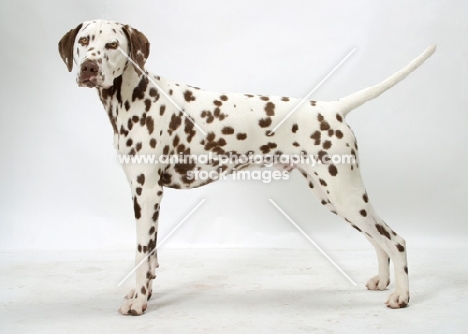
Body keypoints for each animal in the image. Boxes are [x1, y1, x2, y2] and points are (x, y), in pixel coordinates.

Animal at [57, 19, 436, 314]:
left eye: (112, 45)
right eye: (84, 42)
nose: (88, 68)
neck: (137, 98)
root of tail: (332, 108)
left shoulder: (146, 194)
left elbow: (140, 255)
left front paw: (138, 303)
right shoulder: (146, 196)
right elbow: (150, 260)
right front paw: (143, 293)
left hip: (346, 196)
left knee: (395, 240)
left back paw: (402, 296)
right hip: (338, 198)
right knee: (379, 241)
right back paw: (384, 282)